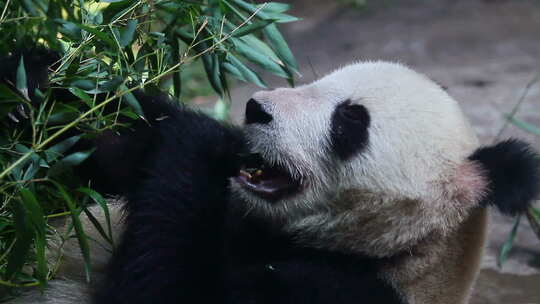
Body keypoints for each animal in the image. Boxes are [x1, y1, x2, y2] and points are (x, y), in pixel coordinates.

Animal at [5, 52, 540, 304]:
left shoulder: (328, 293)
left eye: (348, 123)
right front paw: (37, 79)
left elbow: (158, 289)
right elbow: (112, 142)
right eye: (317, 81)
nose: (255, 109)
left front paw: (196, 139)